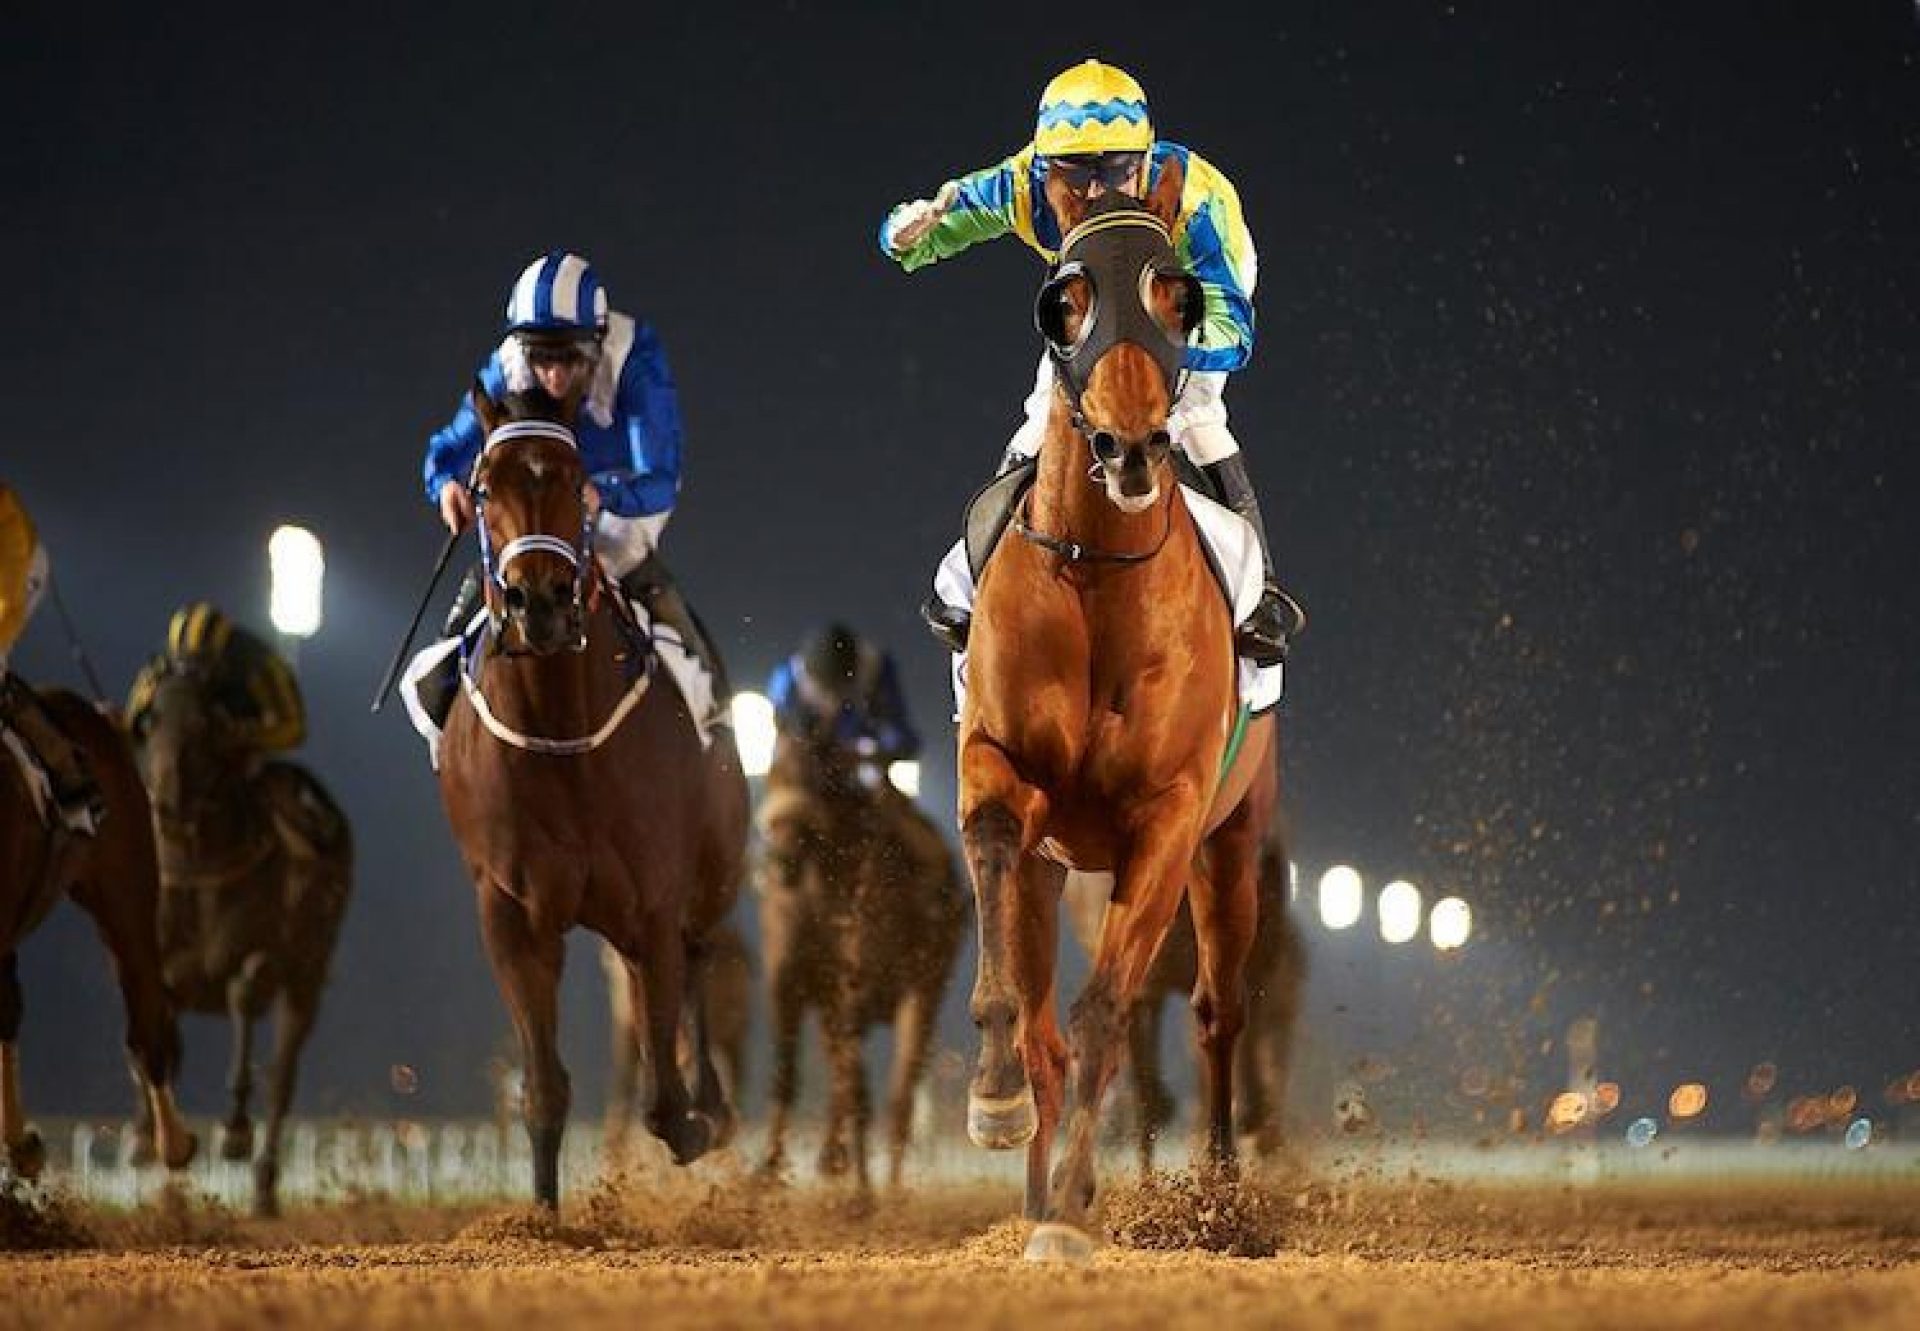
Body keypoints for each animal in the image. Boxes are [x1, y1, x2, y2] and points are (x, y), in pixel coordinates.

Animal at [131, 656, 353, 1213]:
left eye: (205, 726)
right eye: (149, 722)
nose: (167, 806)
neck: (198, 865)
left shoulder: (266, 951)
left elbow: (244, 990)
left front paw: (233, 1129)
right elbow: (152, 1037)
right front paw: (148, 1139)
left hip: (306, 980)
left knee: (282, 1077)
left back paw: (263, 1187)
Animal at [441, 382, 748, 1206]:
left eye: (576, 481)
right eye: (485, 485)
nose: (538, 600)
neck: (562, 739)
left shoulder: (653, 902)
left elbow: (664, 1098)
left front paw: (698, 1121)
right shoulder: (510, 912)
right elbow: (544, 1088)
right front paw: (543, 1216)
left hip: (711, 873)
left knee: (702, 958)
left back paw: (714, 1105)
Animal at [748, 722, 960, 1190]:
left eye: (814, 775)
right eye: (772, 772)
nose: (781, 859)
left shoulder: (912, 993)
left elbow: (894, 1092)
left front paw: (882, 1191)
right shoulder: (807, 987)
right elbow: (810, 1077)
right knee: (832, 1075)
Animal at [960, 176, 1290, 1259]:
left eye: (1178, 296)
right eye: (1064, 299)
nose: (1133, 445)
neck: (1098, 576)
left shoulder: (1169, 818)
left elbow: (1107, 1006)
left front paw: (1070, 1213)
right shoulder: (1003, 768)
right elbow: (995, 856)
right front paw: (998, 1106)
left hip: (1232, 849)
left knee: (1216, 1011)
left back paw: (1216, 1192)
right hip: (1061, 864)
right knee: (1045, 1030)